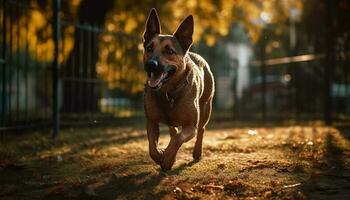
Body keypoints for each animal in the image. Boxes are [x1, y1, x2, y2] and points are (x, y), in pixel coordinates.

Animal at [142, 8, 213, 170]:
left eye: (169, 51)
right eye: (149, 48)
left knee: (201, 129)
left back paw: (197, 152)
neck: (168, 92)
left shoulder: (191, 126)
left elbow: (178, 139)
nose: (150, 65)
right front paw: (162, 157)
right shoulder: (151, 122)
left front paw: (168, 158)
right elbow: (152, 147)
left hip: (206, 108)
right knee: (173, 131)